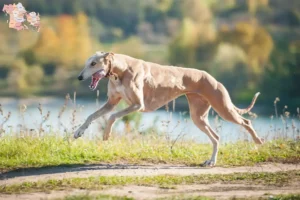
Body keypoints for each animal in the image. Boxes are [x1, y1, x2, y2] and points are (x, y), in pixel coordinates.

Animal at [75, 51, 262, 166]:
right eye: (86, 63)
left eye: (93, 63)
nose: (79, 77)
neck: (120, 69)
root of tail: (213, 78)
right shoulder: (111, 103)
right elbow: (91, 116)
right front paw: (78, 132)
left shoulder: (137, 105)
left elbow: (112, 116)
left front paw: (107, 134)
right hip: (198, 116)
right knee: (216, 137)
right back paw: (211, 161)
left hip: (223, 108)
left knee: (246, 122)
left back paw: (258, 141)